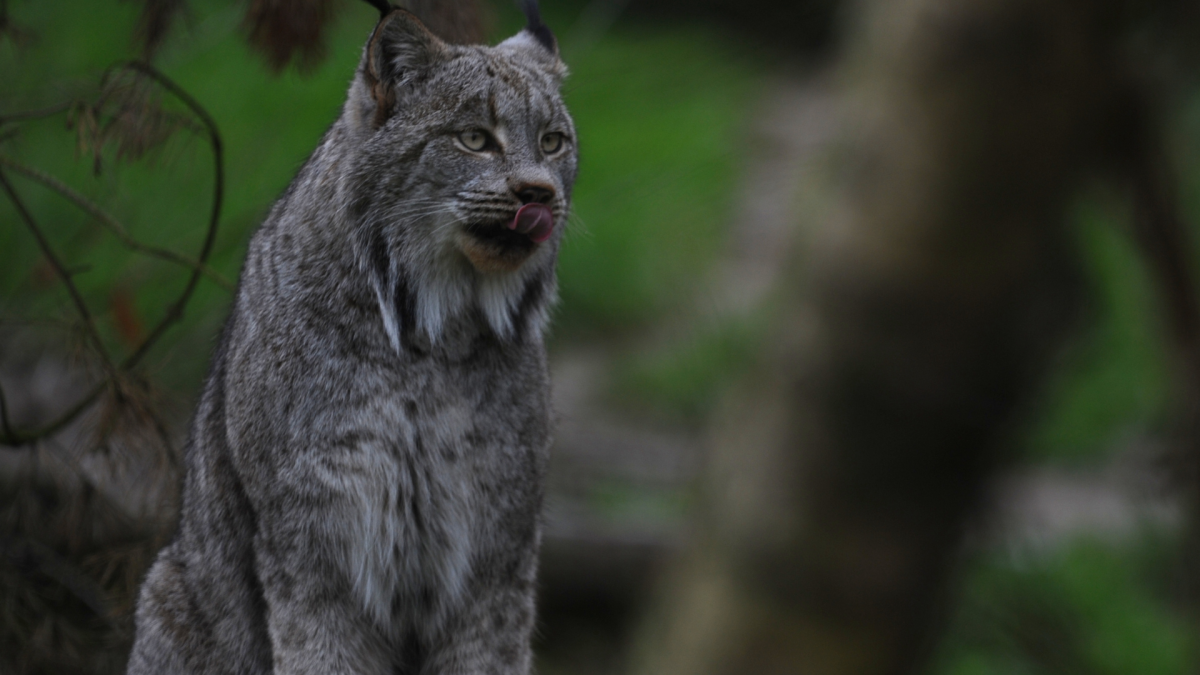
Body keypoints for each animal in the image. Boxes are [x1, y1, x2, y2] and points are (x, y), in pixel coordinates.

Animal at [126, 2, 576, 667]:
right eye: (474, 139)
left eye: (552, 142)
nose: (540, 193)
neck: (431, 337)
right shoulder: (315, 549)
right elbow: (320, 655)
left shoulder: (498, 554)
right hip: (170, 583)